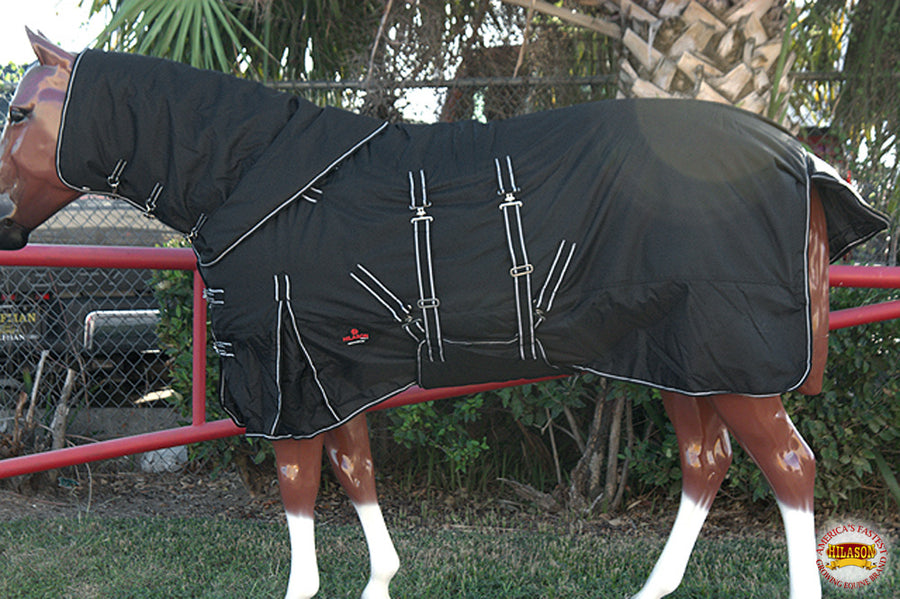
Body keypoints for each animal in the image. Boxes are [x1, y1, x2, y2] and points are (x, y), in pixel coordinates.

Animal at [0, 30, 888, 599]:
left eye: (18, 112)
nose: (5, 224)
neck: (247, 173)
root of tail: (799, 158)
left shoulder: (287, 375)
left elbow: (298, 487)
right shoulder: (333, 370)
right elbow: (354, 471)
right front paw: (381, 580)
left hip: (732, 363)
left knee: (791, 468)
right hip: (685, 361)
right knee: (708, 463)